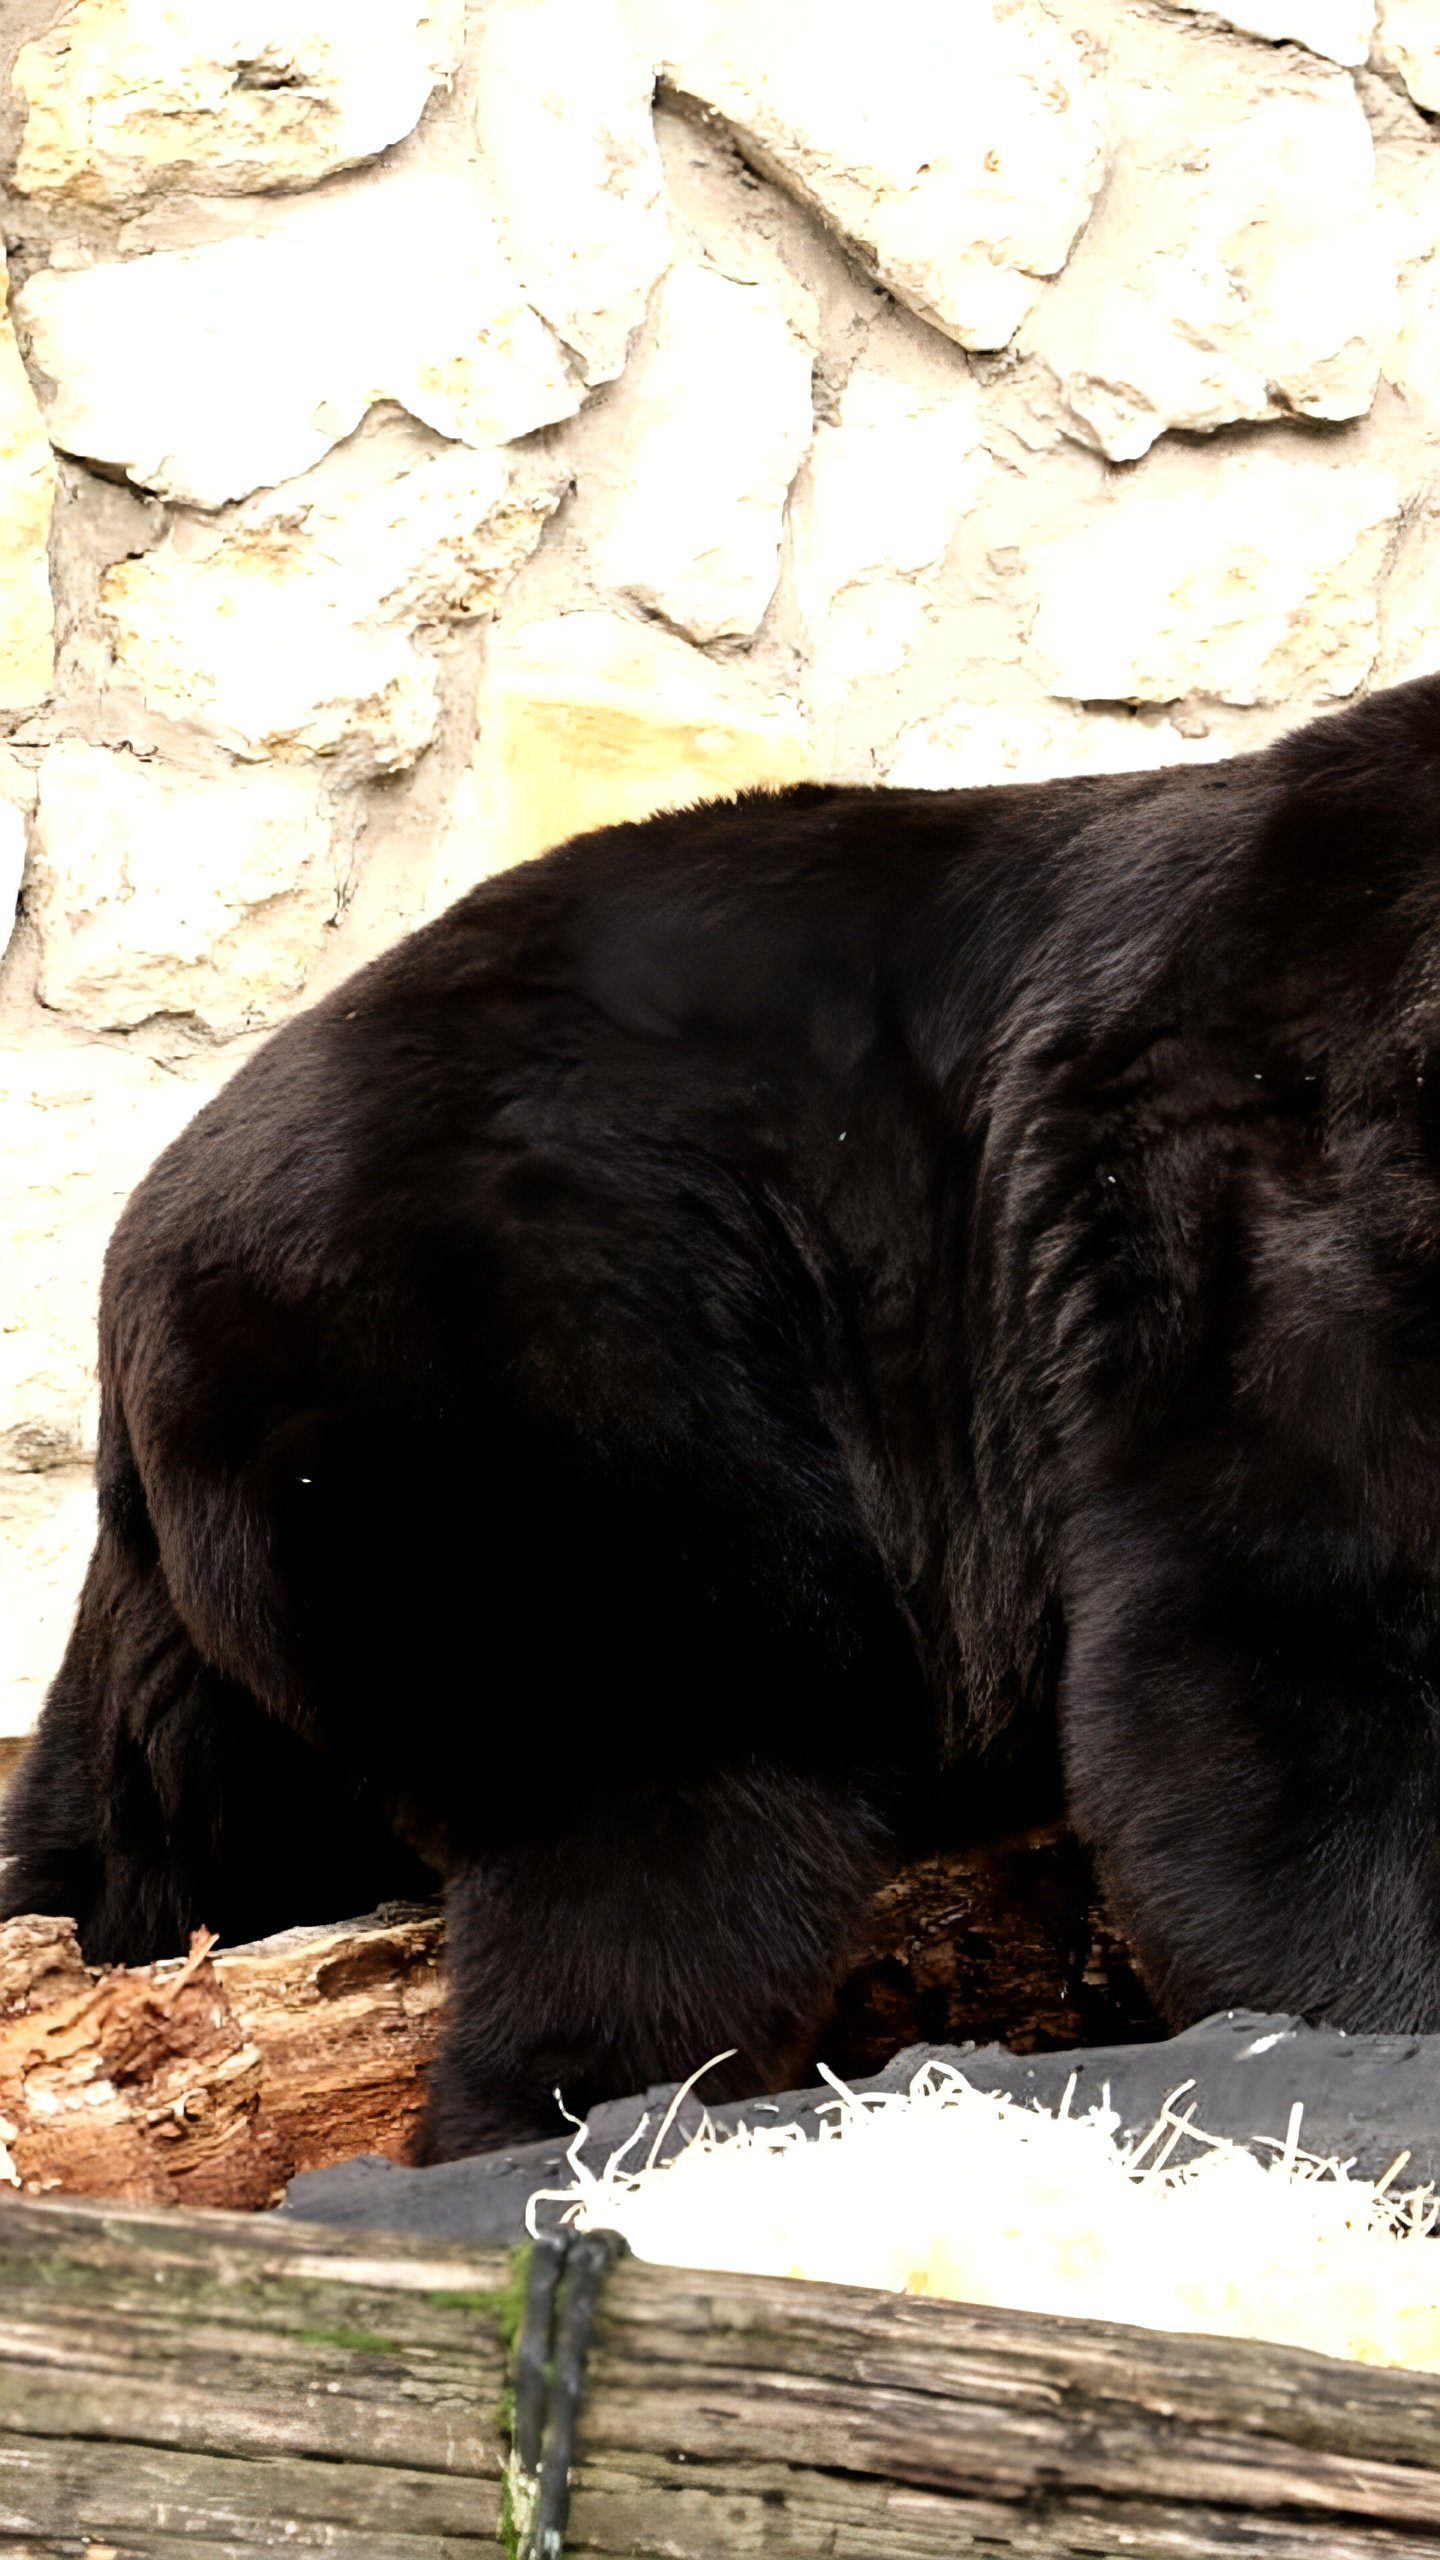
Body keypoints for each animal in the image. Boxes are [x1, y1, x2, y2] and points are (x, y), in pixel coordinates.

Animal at [2, 680, 1434, 2160]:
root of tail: (140, 1248)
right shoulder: (1256, 1191)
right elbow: (1265, 1651)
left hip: (236, 1578)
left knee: (145, 1826)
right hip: (568, 1388)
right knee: (678, 1825)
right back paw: (583, 2123)